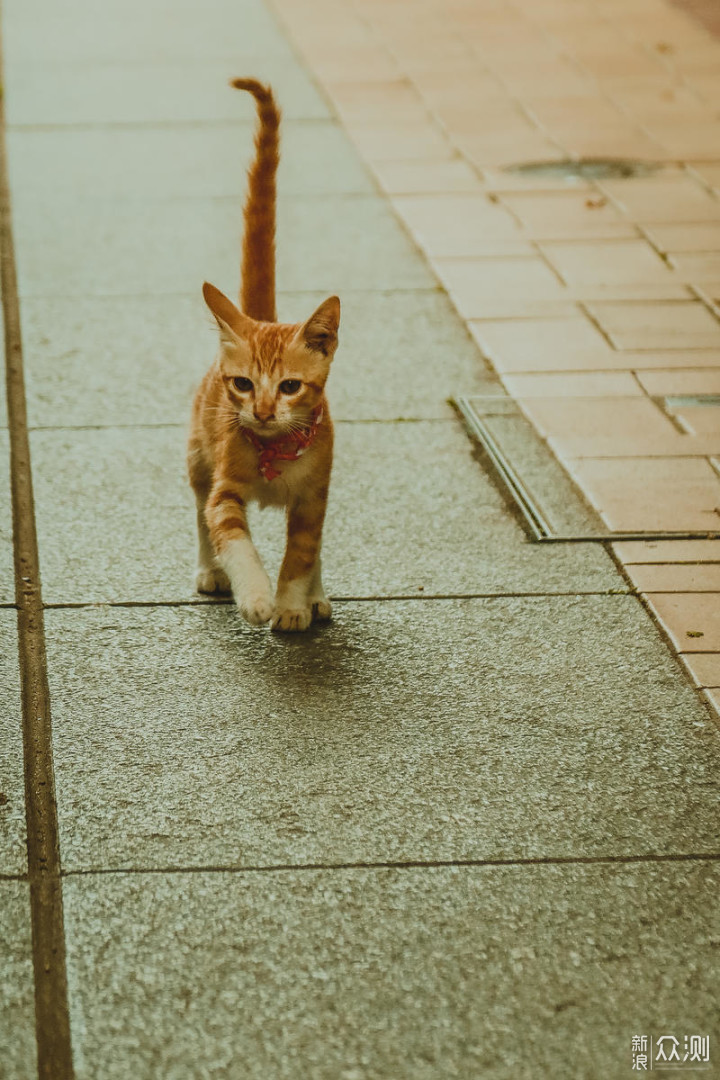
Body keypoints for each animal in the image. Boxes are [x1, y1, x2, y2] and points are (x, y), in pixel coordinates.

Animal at [188, 79, 341, 630]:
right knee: (200, 515)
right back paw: (211, 570)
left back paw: (316, 596)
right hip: (198, 455)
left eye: (290, 386)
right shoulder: (226, 491)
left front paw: (294, 603)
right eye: (243, 384)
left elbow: (303, 551)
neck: (277, 451)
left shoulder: (314, 495)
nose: (262, 411)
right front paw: (255, 595)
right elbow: (232, 538)